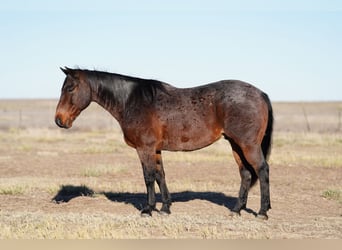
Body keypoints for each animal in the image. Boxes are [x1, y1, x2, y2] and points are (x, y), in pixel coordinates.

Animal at [56, 67, 276, 220]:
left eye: (70, 88)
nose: (59, 120)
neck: (131, 101)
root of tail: (261, 93)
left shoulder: (144, 149)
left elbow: (148, 177)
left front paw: (148, 209)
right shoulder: (155, 149)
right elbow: (160, 176)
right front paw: (165, 208)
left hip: (248, 145)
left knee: (262, 170)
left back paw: (262, 212)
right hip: (236, 145)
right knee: (246, 174)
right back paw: (236, 210)